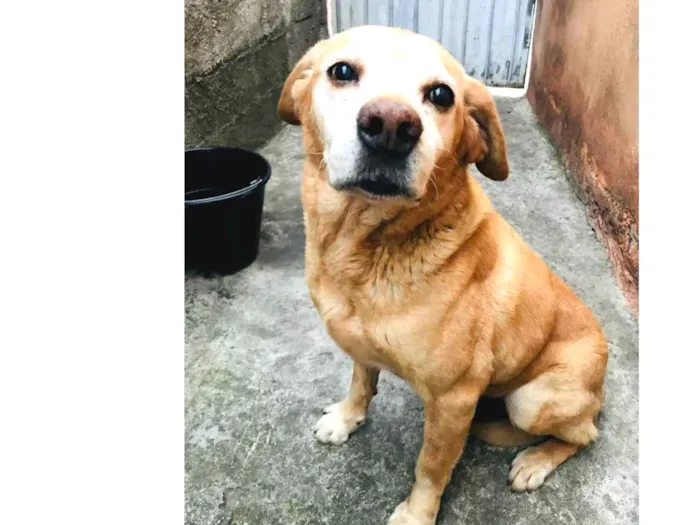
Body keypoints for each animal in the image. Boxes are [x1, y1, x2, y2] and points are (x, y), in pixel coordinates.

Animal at [278, 26, 608, 524]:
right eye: (342, 71)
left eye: (440, 95)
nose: (391, 126)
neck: (366, 250)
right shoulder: (361, 348)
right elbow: (361, 382)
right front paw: (347, 418)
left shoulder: (455, 399)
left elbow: (431, 465)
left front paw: (417, 514)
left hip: (531, 401)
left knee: (583, 435)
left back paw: (535, 461)